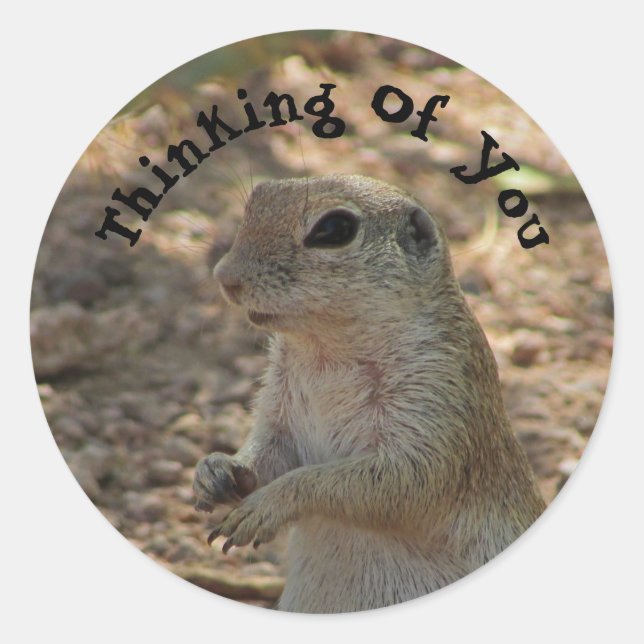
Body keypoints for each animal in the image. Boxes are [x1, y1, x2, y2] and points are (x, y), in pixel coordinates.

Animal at [193, 174, 546, 613]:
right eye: (257, 197)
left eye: (334, 229)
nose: (225, 276)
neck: (326, 352)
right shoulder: (279, 405)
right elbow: (269, 452)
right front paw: (216, 470)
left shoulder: (437, 395)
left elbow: (394, 480)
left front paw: (266, 505)